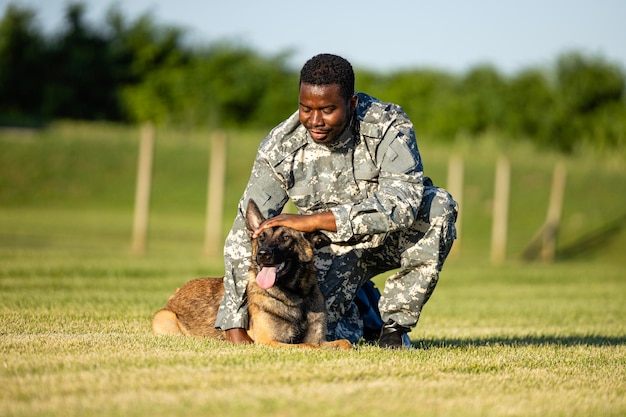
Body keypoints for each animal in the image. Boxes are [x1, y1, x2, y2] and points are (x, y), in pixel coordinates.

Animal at [149, 200, 348, 350]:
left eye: (286, 238)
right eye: (261, 238)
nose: (263, 254)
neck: (295, 297)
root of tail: (175, 294)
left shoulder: (319, 339)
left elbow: (344, 343)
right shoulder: (270, 342)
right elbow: (309, 346)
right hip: (164, 318)